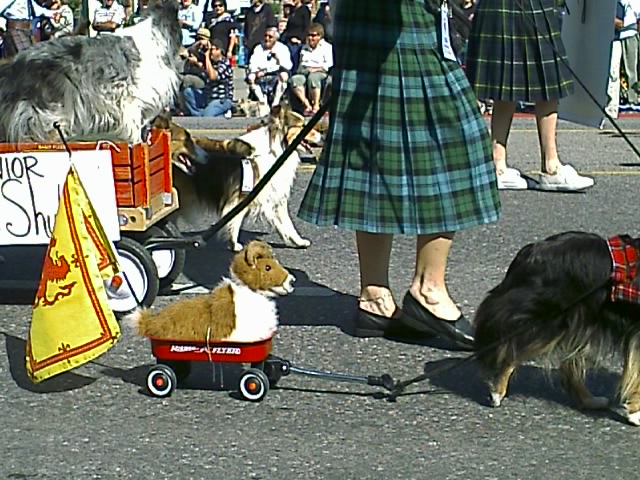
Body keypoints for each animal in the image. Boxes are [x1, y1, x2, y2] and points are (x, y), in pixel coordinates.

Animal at [476, 232, 640, 424]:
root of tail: (529, 251)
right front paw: (636, 413)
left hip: (579, 323)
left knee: (566, 367)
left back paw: (590, 400)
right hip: (546, 321)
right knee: (509, 349)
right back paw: (496, 391)